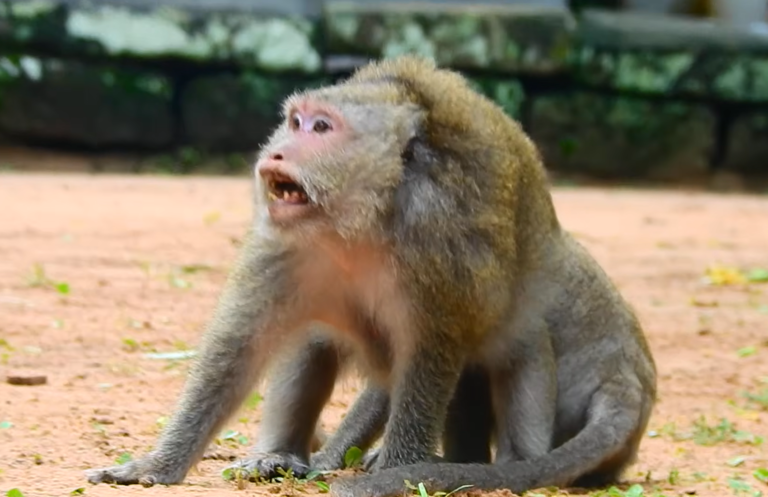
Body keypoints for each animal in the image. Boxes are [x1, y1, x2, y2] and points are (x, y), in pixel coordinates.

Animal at [84, 55, 657, 497]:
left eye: (322, 128)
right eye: (295, 122)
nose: (277, 150)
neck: (361, 224)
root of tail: (628, 381)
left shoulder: (438, 244)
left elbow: (425, 359)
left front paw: (396, 469)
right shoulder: (284, 244)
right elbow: (240, 345)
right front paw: (157, 465)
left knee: (515, 346)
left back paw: (502, 463)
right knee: (312, 341)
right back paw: (281, 455)